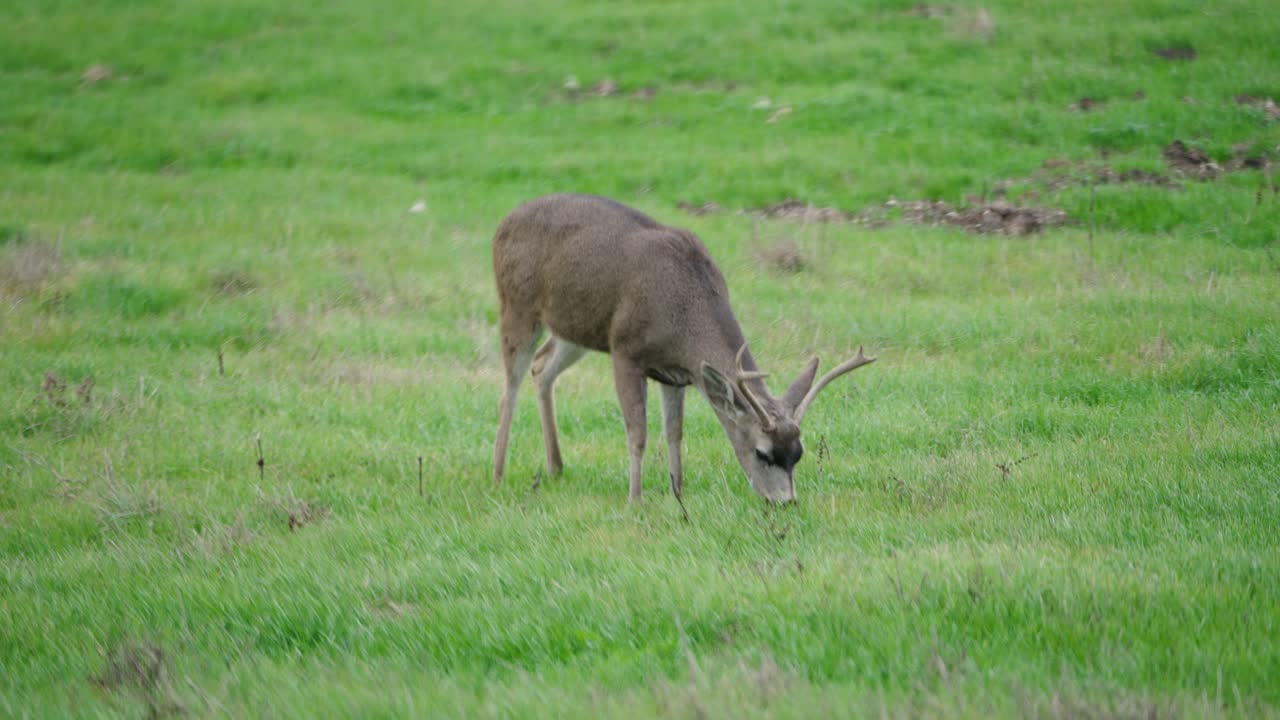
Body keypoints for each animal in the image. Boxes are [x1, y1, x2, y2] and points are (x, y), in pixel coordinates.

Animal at [492, 194, 875, 504]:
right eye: (762, 453)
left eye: (798, 453)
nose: (785, 502)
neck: (682, 312)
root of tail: (504, 221)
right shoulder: (625, 350)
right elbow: (638, 434)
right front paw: (635, 499)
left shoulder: (676, 373)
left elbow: (674, 433)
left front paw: (678, 491)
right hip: (518, 305)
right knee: (509, 387)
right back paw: (498, 474)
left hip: (575, 326)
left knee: (542, 367)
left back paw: (556, 467)